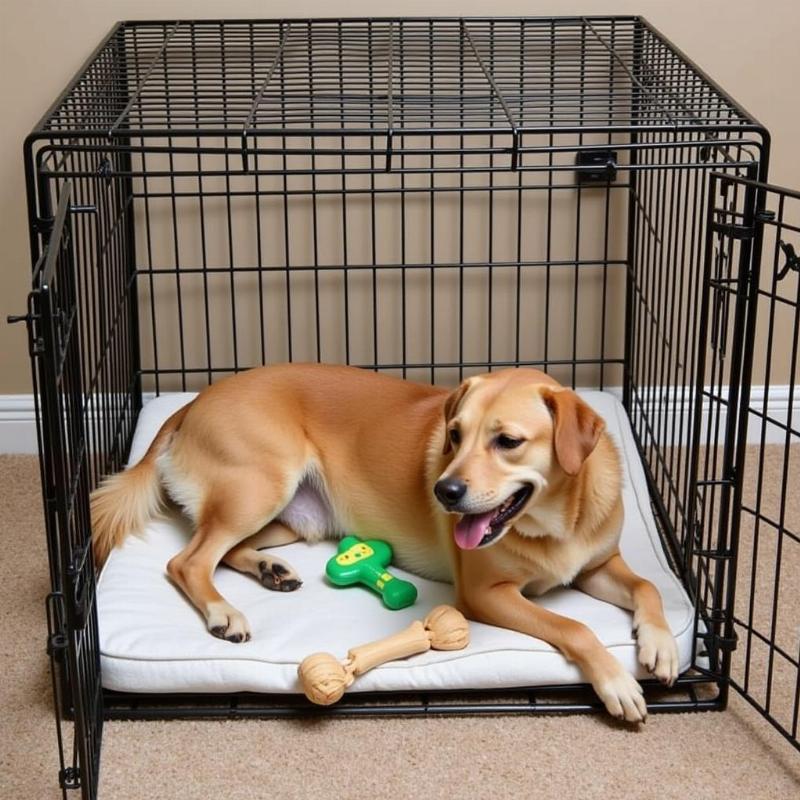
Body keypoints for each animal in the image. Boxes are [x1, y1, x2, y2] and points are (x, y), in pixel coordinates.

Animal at [94, 362, 680, 720]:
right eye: (454, 435)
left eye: (508, 441)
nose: (444, 490)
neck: (556, 521)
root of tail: (192, 403)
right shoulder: (486, 596)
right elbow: (574, 627)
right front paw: (617, 682)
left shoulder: (600, 565)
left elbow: (649, 587)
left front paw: (660, 643)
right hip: (258, 487)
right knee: (189, 560)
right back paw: (223, 613)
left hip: (290, 518)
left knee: (226, 549)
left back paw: (271, 571)